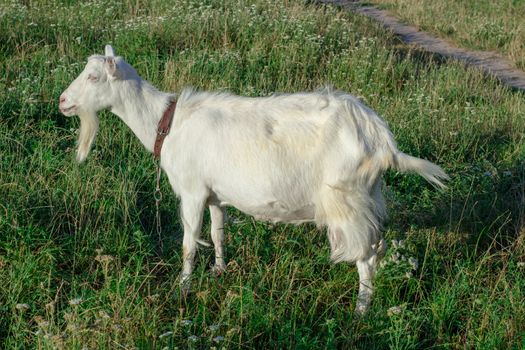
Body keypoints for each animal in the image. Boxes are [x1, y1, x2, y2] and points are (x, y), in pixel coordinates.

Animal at [60, 45, 446, 314]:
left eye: (93, 78)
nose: (63, 101)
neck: (167, 124)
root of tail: (382, 140)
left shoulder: (192, 191)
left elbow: (189, 244)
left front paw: (183, 290)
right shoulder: (214, 194)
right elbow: (217, 233)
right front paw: (219, 271)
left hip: (347, 200)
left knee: (366, 257)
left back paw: (361, 312)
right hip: (368, 195)